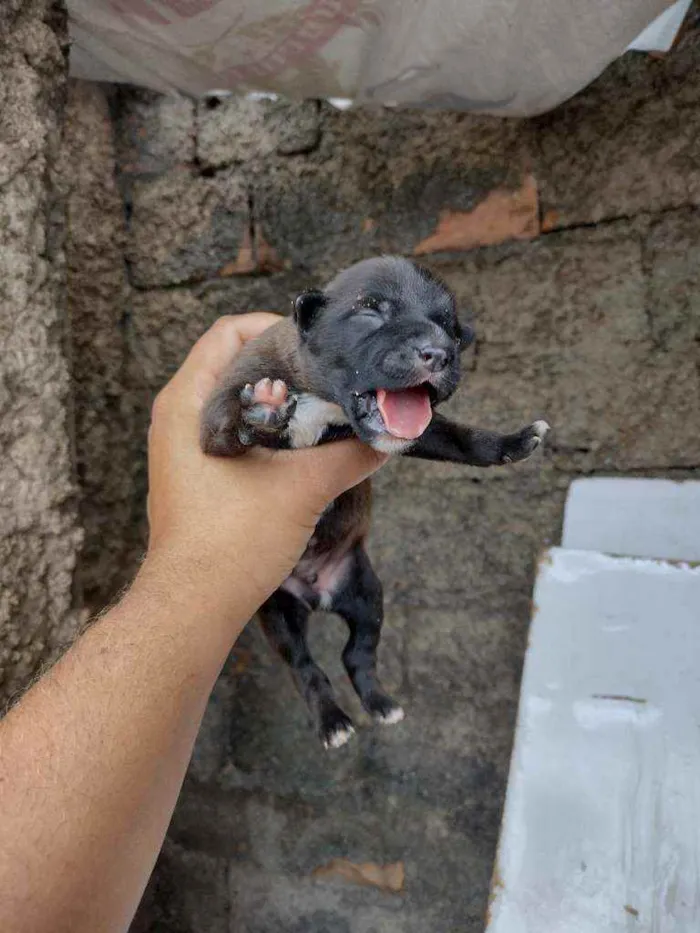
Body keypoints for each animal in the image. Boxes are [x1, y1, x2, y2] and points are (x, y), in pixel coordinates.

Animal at [200, 256, 548, 748]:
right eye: (370, 312)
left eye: (450, 326)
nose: (438, 353)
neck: (325, 401)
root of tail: (318, 594)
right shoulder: (215, 419)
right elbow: (230, 425)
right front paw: (265, 411)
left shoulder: (419, 431)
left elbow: (459, 438)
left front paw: (510, 443)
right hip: (278, 612)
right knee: (304, 667)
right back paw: (333, 723)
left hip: (366, 592)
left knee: (357, 653)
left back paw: (382, 704)